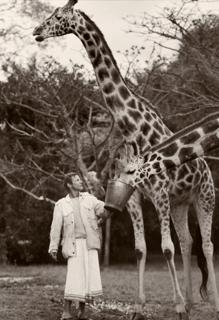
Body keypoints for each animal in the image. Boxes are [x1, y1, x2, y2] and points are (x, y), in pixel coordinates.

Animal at [32, 0, 217, 318]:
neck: (134, 129)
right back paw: (193, 302)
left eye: (57, 15)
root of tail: (205, 168)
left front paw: (177, 305)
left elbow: (165, 248)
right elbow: (142, 248)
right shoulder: (134, 195)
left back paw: (210, 303)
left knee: (206, 245)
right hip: (180, 202)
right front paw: (140, 307)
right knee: (187, 241)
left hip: (204, 197)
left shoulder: (159, 192)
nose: (36, 32)